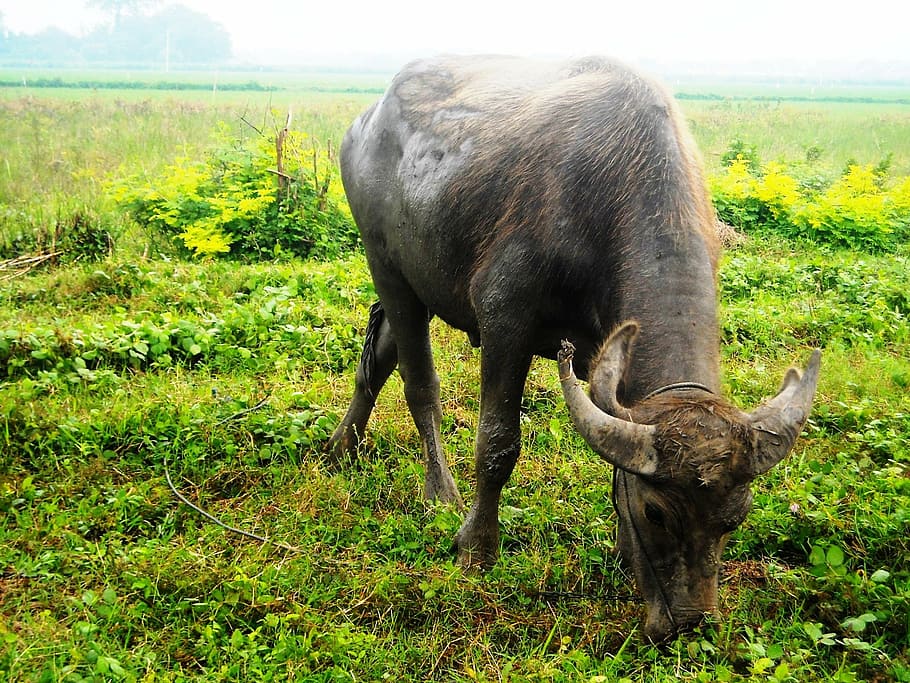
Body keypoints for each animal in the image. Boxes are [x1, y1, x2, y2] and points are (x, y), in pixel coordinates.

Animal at [328, 55, 820, 641]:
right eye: (656, 512)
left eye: (736, 518)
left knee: (378, 357)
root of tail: (367, 121)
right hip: (387, 265)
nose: (689, 624)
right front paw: (476, 547)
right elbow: (497, 443)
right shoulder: (505, 319)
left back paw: (341, 445)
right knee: (419, 383)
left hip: (418, 280)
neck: (612, 189)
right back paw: (439, 490)